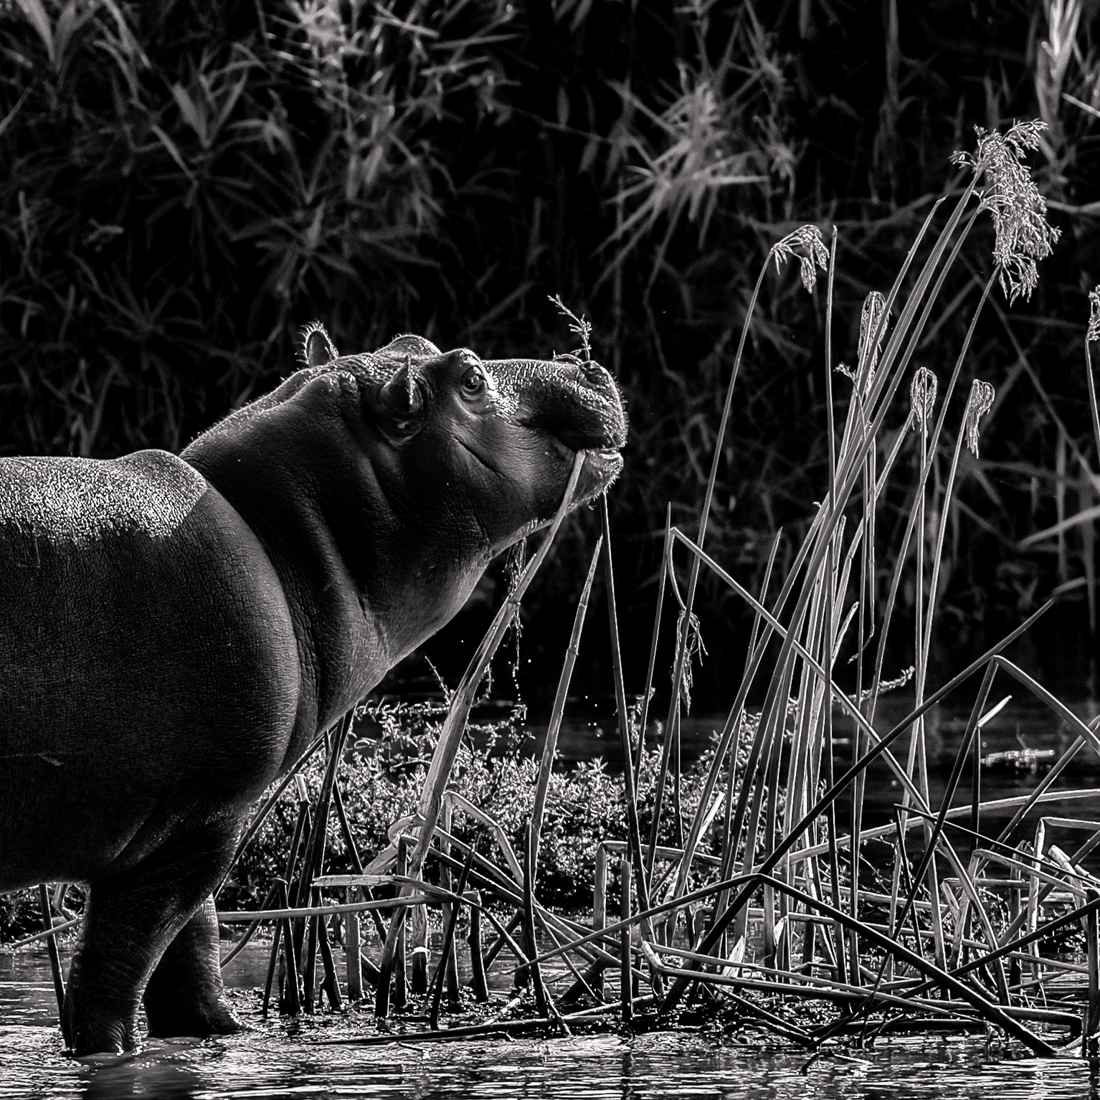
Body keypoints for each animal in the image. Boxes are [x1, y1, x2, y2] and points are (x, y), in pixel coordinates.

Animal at [0, 327, 629, 1056]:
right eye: (470, 378)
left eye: (411, 339)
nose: (585, 360)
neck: (281, 532)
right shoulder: (188, 828)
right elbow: (117, 974)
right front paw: (110, 1055)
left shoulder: (198, 825)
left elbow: (192, 959)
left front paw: (224, 1039)